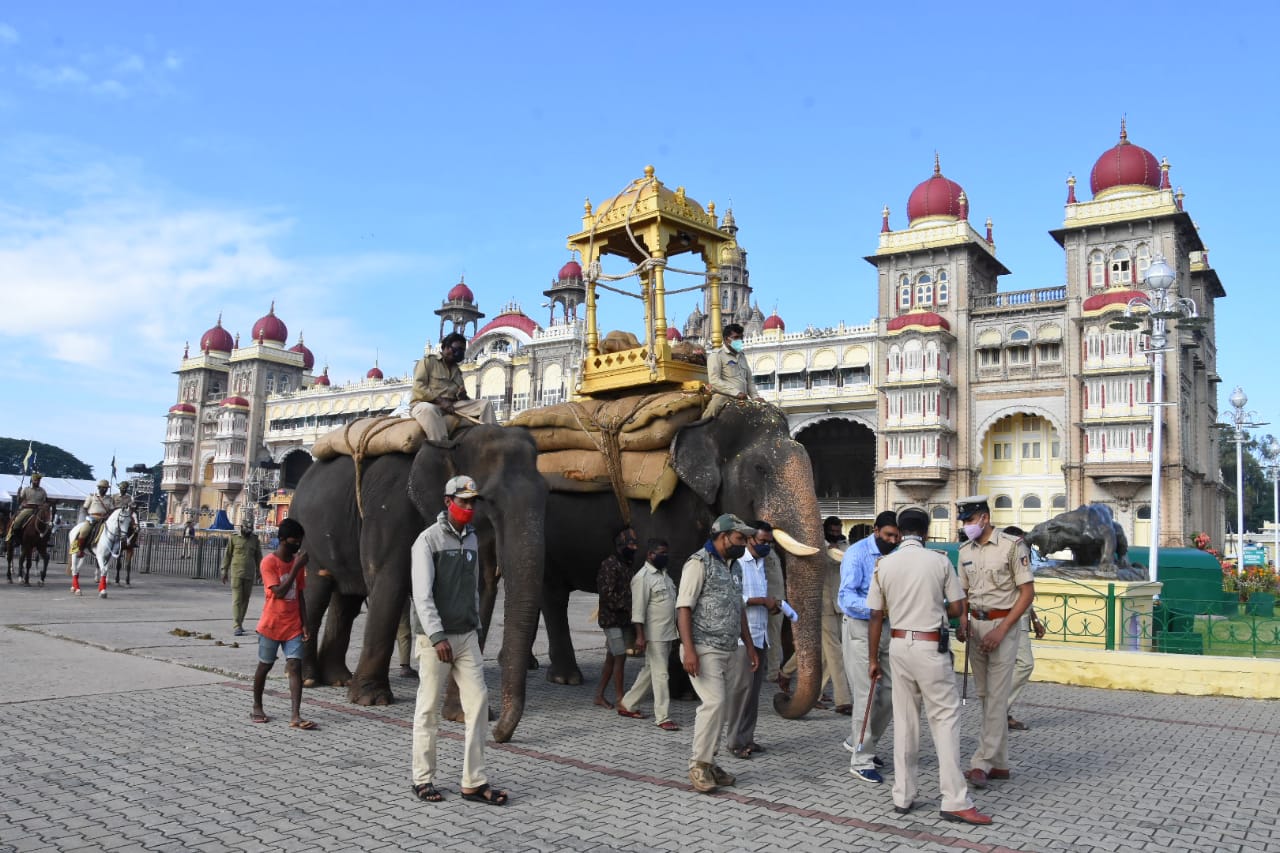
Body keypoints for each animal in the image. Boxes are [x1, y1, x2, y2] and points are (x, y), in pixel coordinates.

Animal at [288, 422, 547, 742]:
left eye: (548, 496)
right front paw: (371, 700)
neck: (452, 441)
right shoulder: (390, 509)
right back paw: (310, 680)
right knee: (316, 591)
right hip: (309, 535)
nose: (499, 735)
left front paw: (466, 714)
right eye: (486, 499)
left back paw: (338, 679)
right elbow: (390, 580)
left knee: (347, 599)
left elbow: (480, 592)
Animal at [524, 399, 824, 717]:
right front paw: (686, 691)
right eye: (760, 469)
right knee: (553, 595)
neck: (708, 420)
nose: (781, 698)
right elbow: (679, 586)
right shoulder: (665, 510)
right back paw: (566, 678)